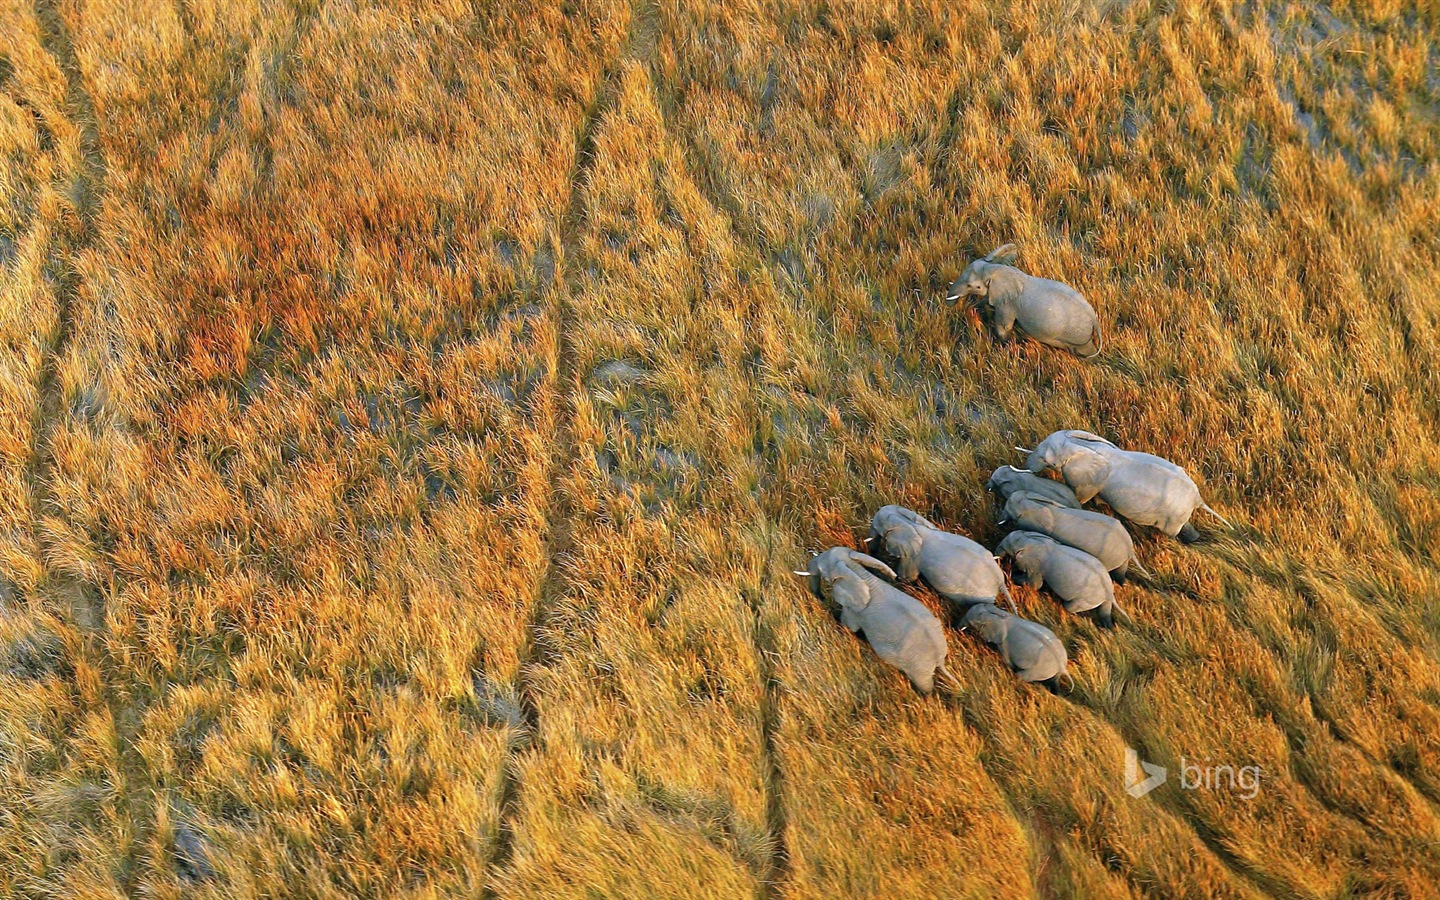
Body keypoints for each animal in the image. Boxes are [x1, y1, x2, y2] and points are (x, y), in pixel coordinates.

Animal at [794, 544, 961, 691]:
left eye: (823, 570)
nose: (820, 598)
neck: (857, 571)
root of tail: (939, 658)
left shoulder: (854, 611)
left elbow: (848, 625)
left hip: (918, 668)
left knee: (925, 685)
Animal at [864, 506, 1013, 610]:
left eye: (879, 526)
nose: (873, 553)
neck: (908, 523)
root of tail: (1000, 581)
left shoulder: (912, 557)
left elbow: (906, 578)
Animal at [944, 246, 1100, 361]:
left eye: (973, 286)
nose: (950, 307)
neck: (996, 269)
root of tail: (1094, 318)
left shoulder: (1009, 304)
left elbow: (1004, 326)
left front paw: (1005, 347)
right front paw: (974, 309)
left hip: (1077, 335)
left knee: (1086, 350)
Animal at [1019, 429, 1232, 541]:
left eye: (1048, 461)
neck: (1082, 445)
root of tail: (1198, 499)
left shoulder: (1086, 480)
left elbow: (1081, 497)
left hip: (1172, 517)